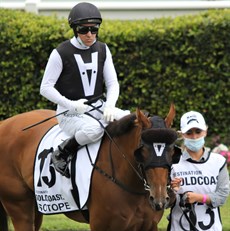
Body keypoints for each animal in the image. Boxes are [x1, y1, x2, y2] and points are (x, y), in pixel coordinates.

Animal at [0, 104, 178, 231]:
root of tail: (4, 123)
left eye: (171, 150)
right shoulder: (102, 226)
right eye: (144, 150)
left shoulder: (148, 226)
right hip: (19, 206)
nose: (160, 200)